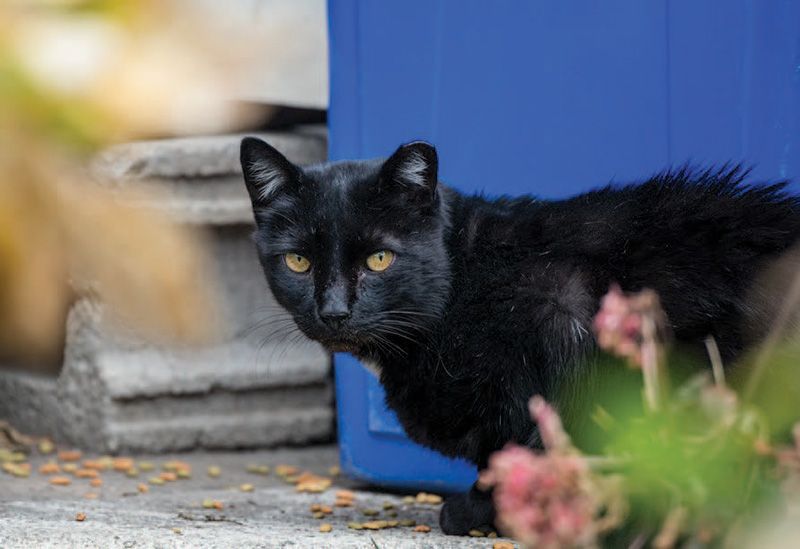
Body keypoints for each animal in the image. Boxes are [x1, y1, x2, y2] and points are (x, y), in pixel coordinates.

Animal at [241, 138, 800, 536]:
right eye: (298, 261)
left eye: (380, 259)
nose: (334, 311)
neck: (464, 278)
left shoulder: (559, 313)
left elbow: (532, 450)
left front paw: (477, 511)